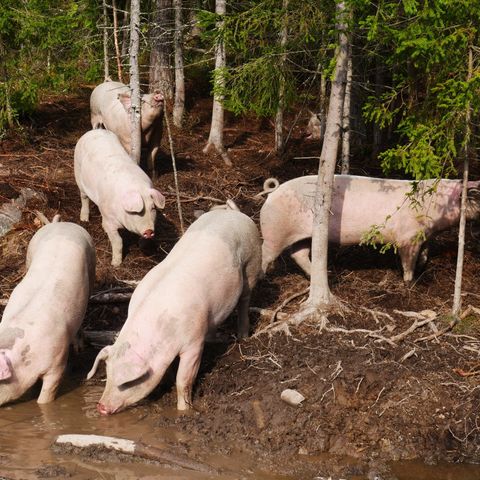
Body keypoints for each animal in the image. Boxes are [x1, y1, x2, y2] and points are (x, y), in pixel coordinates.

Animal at [0, 220, 95, 404]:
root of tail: (63, 223)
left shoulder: (57, 363)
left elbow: (46, 396)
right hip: (29, 254)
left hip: (92, 260)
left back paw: (79, 348)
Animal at [73, 127, 166, 266]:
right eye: (136, 212)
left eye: (153, 208)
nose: (149, 231)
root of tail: (94, 131)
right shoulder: (109, 219)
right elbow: (118, 241)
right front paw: (115, 264)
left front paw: (142, 247)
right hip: (78, 172)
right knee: (84, 197)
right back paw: (84, 219)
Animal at [88, 208, 264, 414]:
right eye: (108, 374)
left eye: (127, 383)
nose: (101, 407)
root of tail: (234, 213)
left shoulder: (193, 343)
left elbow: (184, 380)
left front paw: (183, 410)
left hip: (251, 263)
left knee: (245, 300)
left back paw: (243, 336)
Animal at [260, 174, 480, 284]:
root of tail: (274, 191)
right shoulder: (407, 238)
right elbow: (408, 261)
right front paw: (409, 283)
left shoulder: (424, 235)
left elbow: (425, 253)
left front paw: (421, 268)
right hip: (274, 231)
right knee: (266, 254)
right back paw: (262, 277)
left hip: (304, 235)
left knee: (298, 254)